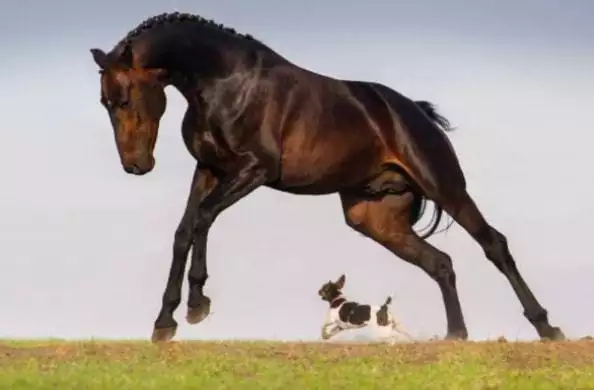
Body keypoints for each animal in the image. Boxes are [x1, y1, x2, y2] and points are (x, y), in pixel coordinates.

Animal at [89, 11, 564, 342]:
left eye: (126, 99)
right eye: (104, 102)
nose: (135, 165)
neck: (225, 81)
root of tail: (417, 113)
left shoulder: (253, 169)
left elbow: (203, 219)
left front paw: (196, 305)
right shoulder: (209, 170)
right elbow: (184, 230)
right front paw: (165, 322)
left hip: (447, 187)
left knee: (494, 246)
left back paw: (547, 328)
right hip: (374, 218)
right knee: (440, 264)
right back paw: (456, 336)